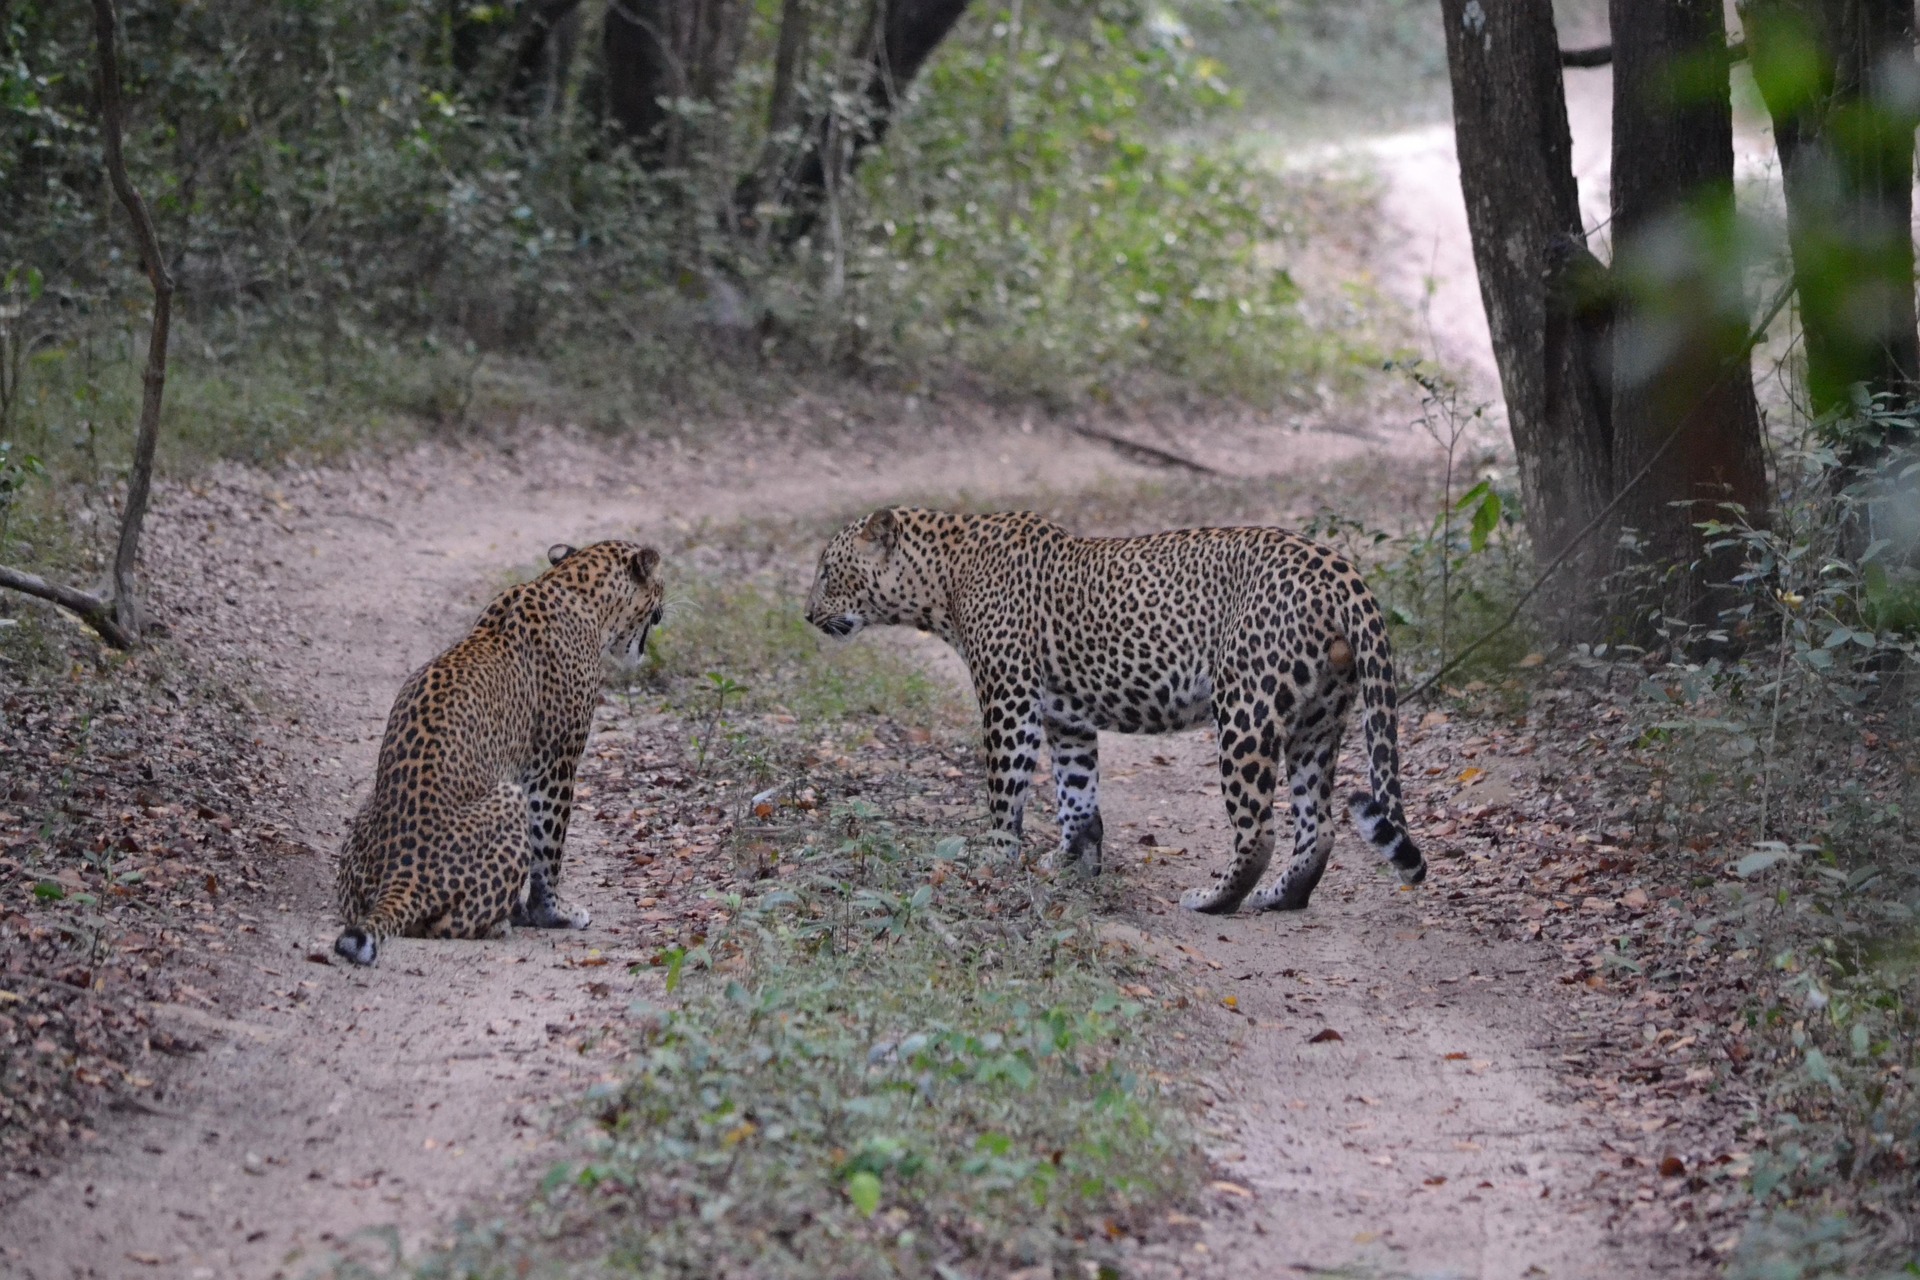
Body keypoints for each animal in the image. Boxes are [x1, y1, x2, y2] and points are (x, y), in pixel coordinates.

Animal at [333, 540, 666, 966]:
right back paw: (501, 923)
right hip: (509, 797)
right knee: (445, 924)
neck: (574, 587)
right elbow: (549, 848)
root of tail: (401, 877)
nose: (666, 600)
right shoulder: (555, 762)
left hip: (364, 824)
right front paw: (554, 913)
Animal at [803, 508, 1423, 914]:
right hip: (1319, 719)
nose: (806, 615)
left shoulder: (1009, 700)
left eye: (828, 572)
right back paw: (1282, 897)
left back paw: (1214, 898)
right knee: (1317, 826)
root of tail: (1342, 570)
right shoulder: (1066, 718)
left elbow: (1005, 792)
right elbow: (1077, 798)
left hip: (1246, 709)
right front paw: (1074, 867)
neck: (941, 578)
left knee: (1259, 829)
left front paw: (994, 861)